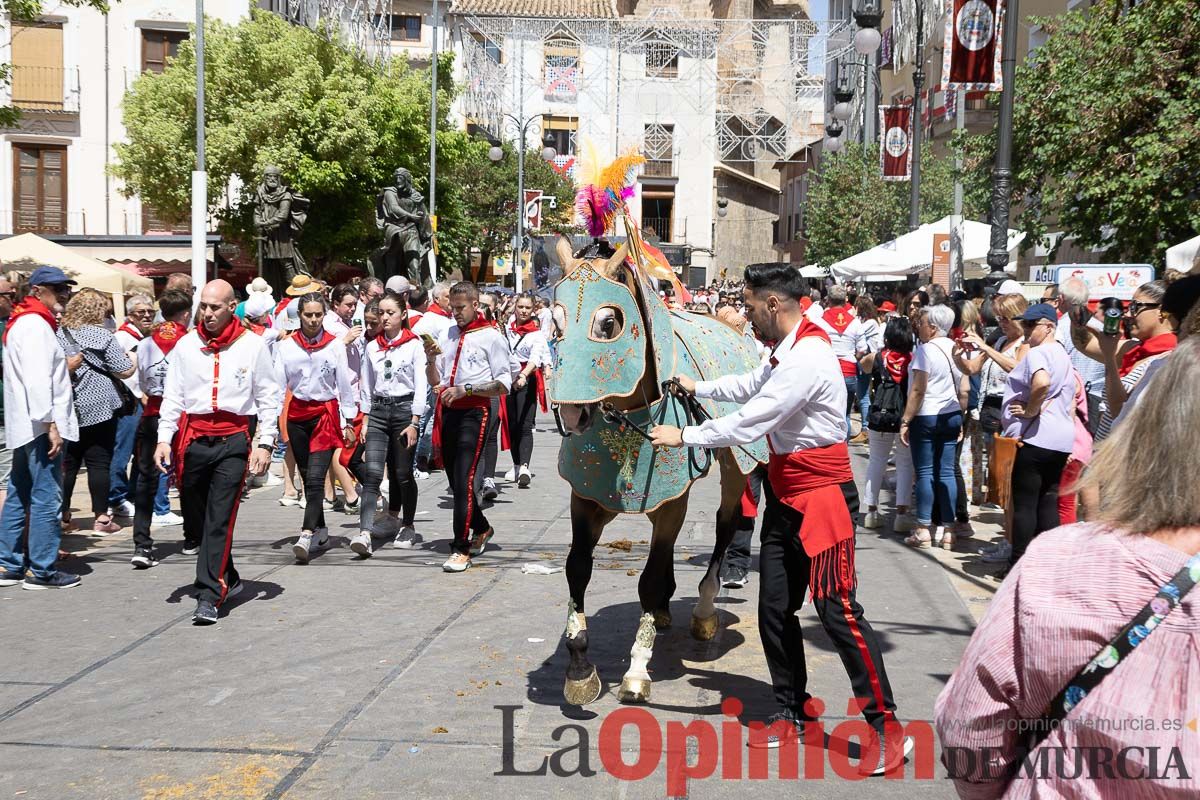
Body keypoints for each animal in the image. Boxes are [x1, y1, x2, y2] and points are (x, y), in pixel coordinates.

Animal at [547, 146, 763, 705]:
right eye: (553, 320)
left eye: (608, 323)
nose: (571, 411)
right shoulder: (588, 495)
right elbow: (577, 568)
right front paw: (579, 668)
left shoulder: (670, 498)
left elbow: (647, 577)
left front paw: (636, 671)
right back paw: (666, 611)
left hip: (735, 467)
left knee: (724, 525)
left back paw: (703, 611)